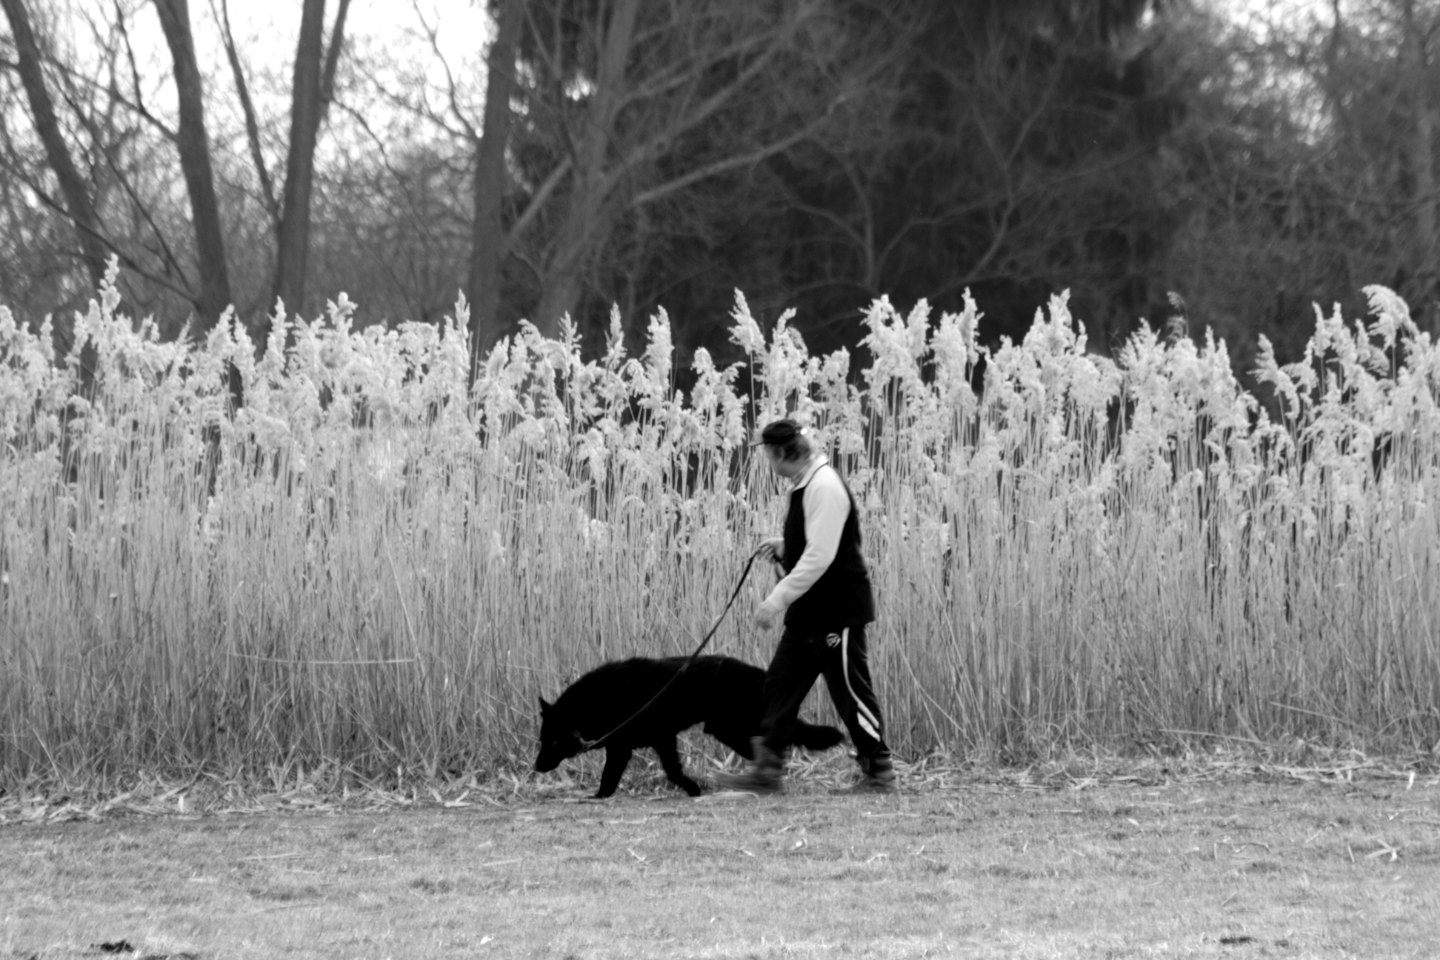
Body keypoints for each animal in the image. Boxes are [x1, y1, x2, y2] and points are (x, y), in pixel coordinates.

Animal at [534, 654, 844, 797]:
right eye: (542, 740)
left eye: (553, 741)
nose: (535, 767)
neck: (597, 702)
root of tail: (759, 674)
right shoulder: (652, 742)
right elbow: (669, 770)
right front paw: (693, 789)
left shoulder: (639, 744)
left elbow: (613, 775)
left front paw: (598, 797)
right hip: (728, 731)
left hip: (736, 728)